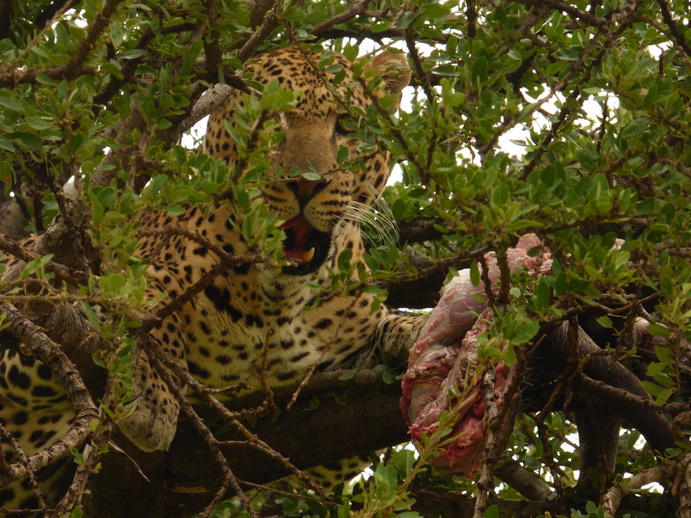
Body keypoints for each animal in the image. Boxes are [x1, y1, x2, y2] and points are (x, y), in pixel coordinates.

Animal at [0, 46, 424, 512]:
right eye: (267, 117)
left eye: (346, 124)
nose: (304, 183)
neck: (280, 303)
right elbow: (143, 297)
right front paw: (154, 394)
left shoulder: (327, 451)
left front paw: (419, 331)